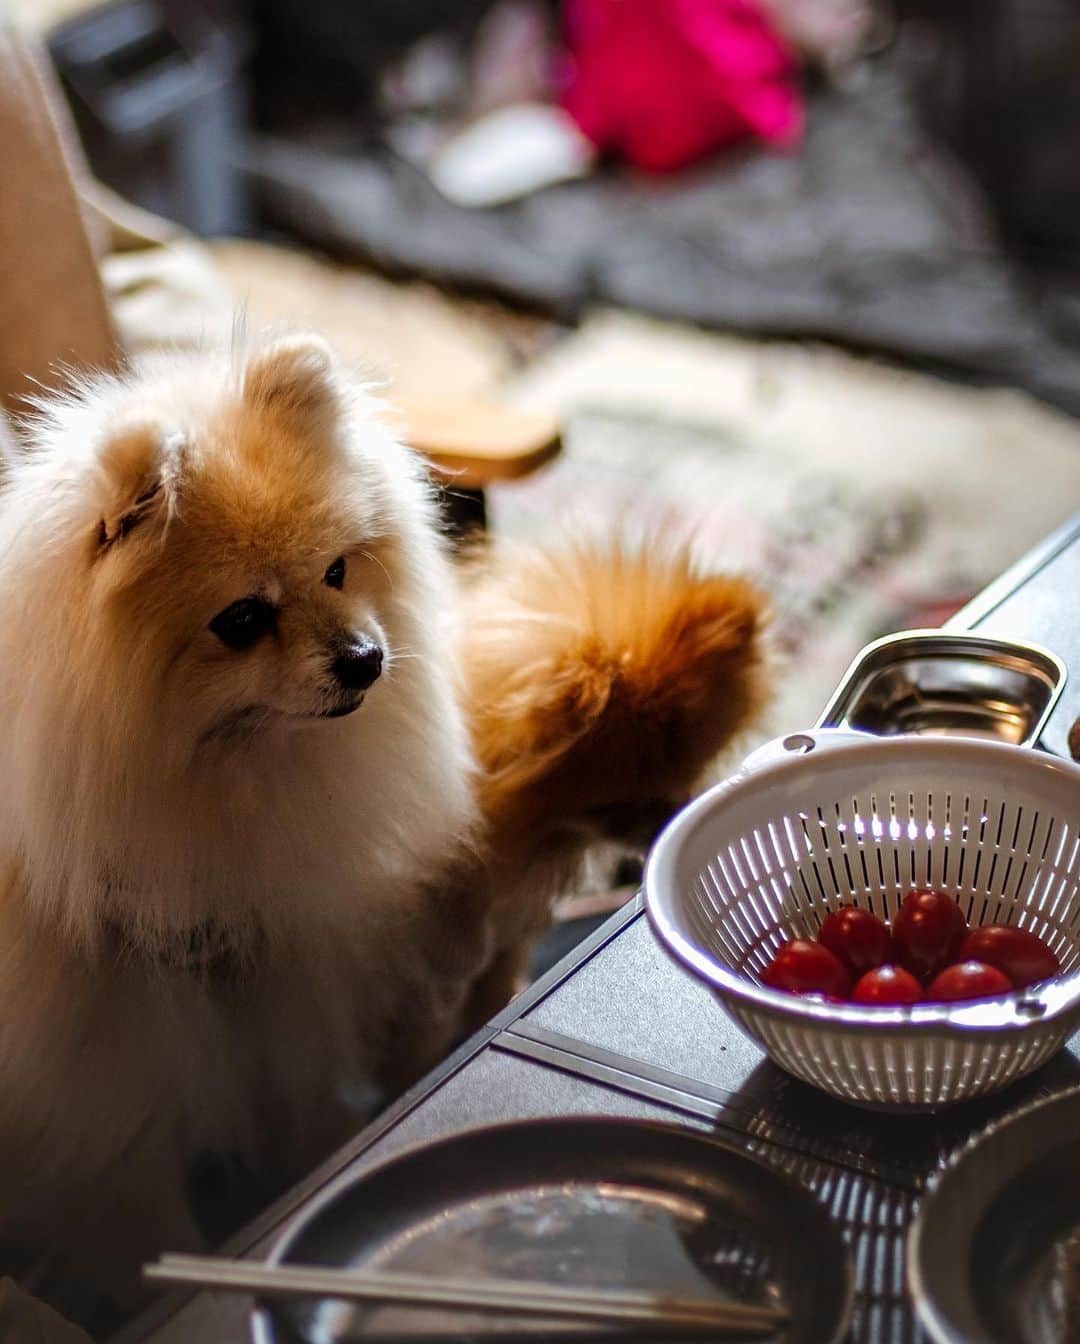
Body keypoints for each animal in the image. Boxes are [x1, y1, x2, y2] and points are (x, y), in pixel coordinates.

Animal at [0, 333, 768, 1322]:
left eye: (338, 569)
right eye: (242, 619)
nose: (367, 658)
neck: (223, 784)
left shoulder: (287, 988)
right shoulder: (114, 1079)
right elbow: (147, 1215)